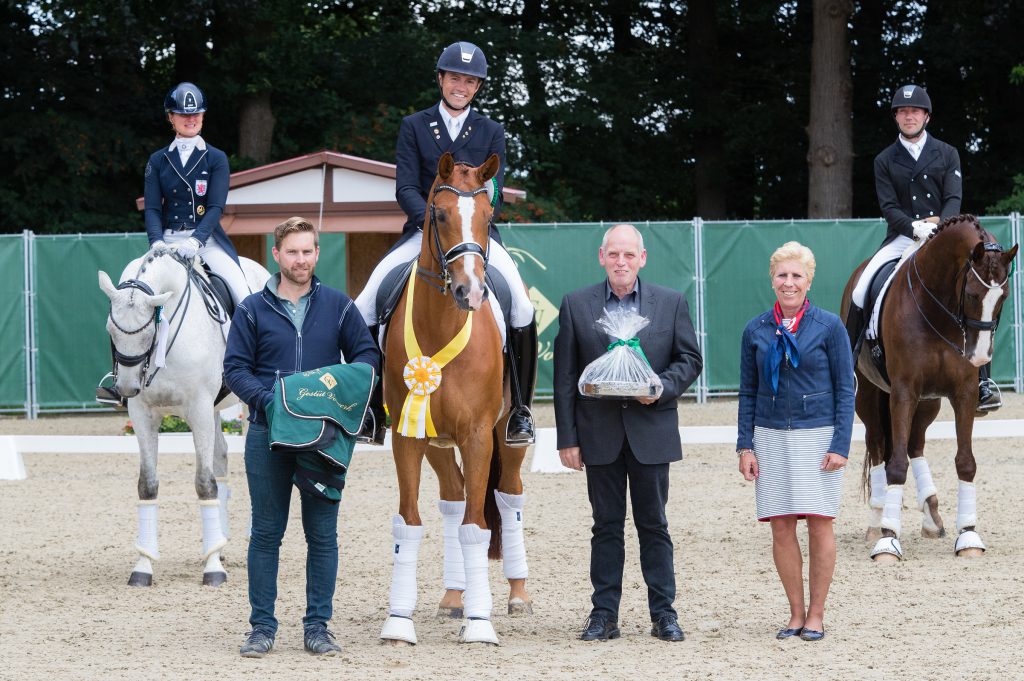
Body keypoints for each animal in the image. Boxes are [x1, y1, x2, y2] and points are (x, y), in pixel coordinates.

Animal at [378, 151, 536, 647]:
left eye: (488, 216)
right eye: (440, 214)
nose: (472, 292)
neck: (441, 324)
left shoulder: (477, 435)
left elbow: (476, 527)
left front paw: (480, 624)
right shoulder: (407, 436)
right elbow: (409, 524)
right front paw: (399, 622)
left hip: (505, 436)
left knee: (508, 497)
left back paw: (517, 595)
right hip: (437, 442)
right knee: (453, 497)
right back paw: (453, 596)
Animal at [839, 215, 1015, 561]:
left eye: (1002, 298)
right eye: (972, 295)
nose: (979, 356)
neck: (937, 304)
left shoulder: (963, 393)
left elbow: (966, 462)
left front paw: (968, 535)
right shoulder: (904, 391)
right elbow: (895, 466)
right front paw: (888, 540)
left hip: (928, 402)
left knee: (915, 444)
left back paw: (931, 514)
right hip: (869, 395)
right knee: (878, 444)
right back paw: (876, 520)